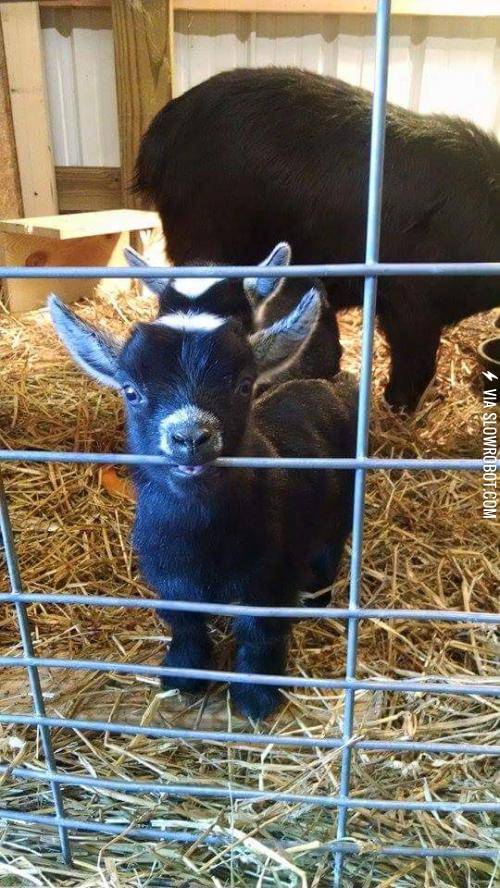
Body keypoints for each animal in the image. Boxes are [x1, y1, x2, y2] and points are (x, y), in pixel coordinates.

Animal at [49, 288, 357, 719]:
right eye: (131, 390)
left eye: (244, 385)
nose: (190, 437)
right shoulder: (169, 578)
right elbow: (186, 626)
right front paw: (183, 675)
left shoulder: (271, 578)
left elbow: (261, 634)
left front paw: (256, 698)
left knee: (329, 550)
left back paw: (318, 599)